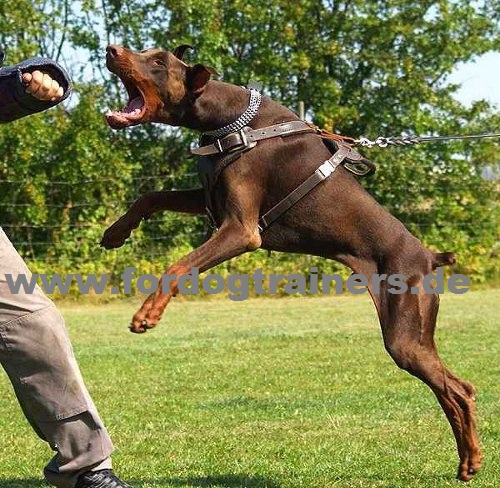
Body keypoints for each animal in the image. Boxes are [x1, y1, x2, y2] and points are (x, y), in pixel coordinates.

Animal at [100, 44, 480, 480]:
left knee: (458, 390)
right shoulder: (211, 200)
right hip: (415, 335)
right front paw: (116, 232)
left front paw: (148, 314)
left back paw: (471, 458)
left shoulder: (241, 229)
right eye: (147, 52)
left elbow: (178, 266)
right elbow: (151, 196)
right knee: (454, 390)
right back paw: (468, 461)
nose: (112, 49)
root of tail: (429, 257)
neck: (227, 120)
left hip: (405, 332)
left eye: (159, 61)